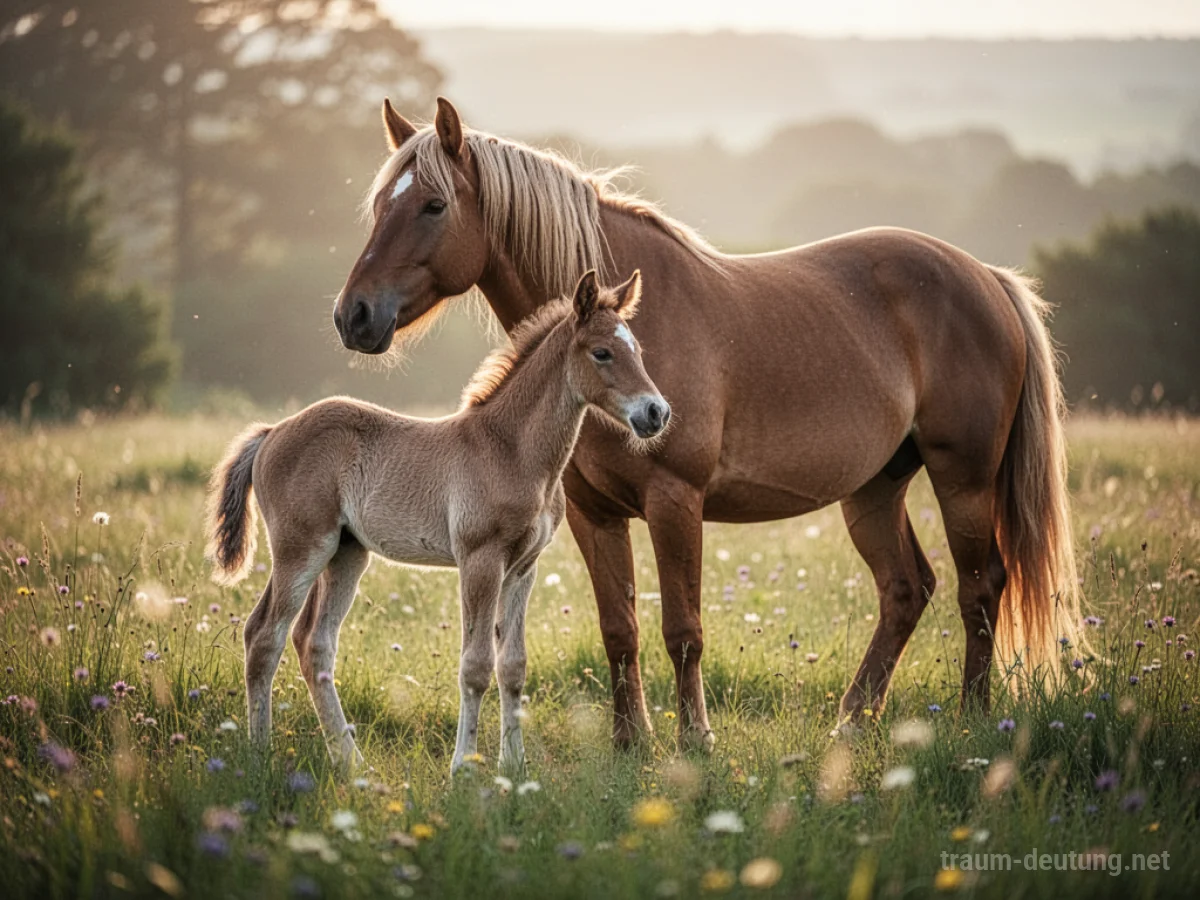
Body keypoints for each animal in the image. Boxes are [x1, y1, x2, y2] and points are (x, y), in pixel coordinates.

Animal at [206, 270, 667, 773]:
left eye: (638, 350)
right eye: (602, 352)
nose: (656, 412)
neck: (511, 450)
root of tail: (272, 432)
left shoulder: (524, 567)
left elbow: (513, 666)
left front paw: (515, 768)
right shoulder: (480, 560)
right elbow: (476, 666)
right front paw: (463, 766)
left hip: (346, 553)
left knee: (314, 643)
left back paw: (351, 762)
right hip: (301, 549)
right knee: (263, 636)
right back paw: (261, 755)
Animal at [333, 97, 1079, 750]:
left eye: (433, 205)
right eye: (377, 205)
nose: (354, 316)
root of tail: (986, 277)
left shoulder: (676, 501)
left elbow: (682, 631)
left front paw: (695, 741)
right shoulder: (593, 513)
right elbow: (619, 628)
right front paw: (630, 743)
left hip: (963, 481)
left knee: (980, 588)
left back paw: (972, 720)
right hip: (874, 489)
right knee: (905, 589)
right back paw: (851, 723)